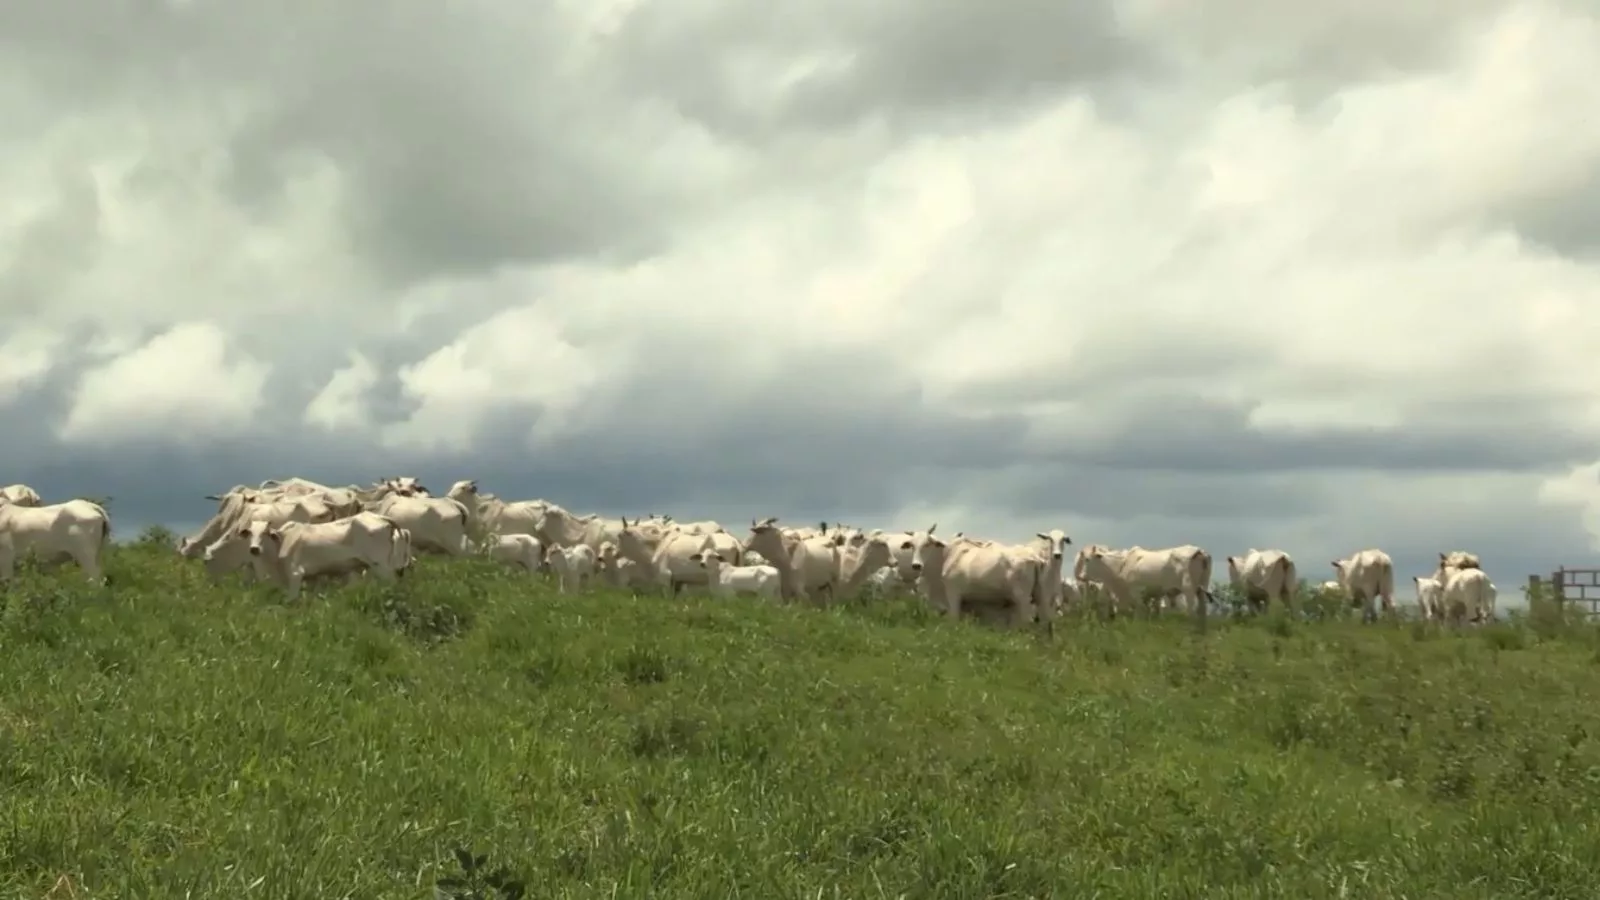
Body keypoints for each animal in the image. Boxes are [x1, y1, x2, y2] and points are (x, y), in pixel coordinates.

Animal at [1075, 538, 1209, 614]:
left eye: (1087, 559)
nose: (1081, 576)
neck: (1121, 564)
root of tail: (1199, 551)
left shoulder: (1136, 593)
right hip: (1202, 589)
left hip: (1189, 589)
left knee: (1191, 610)